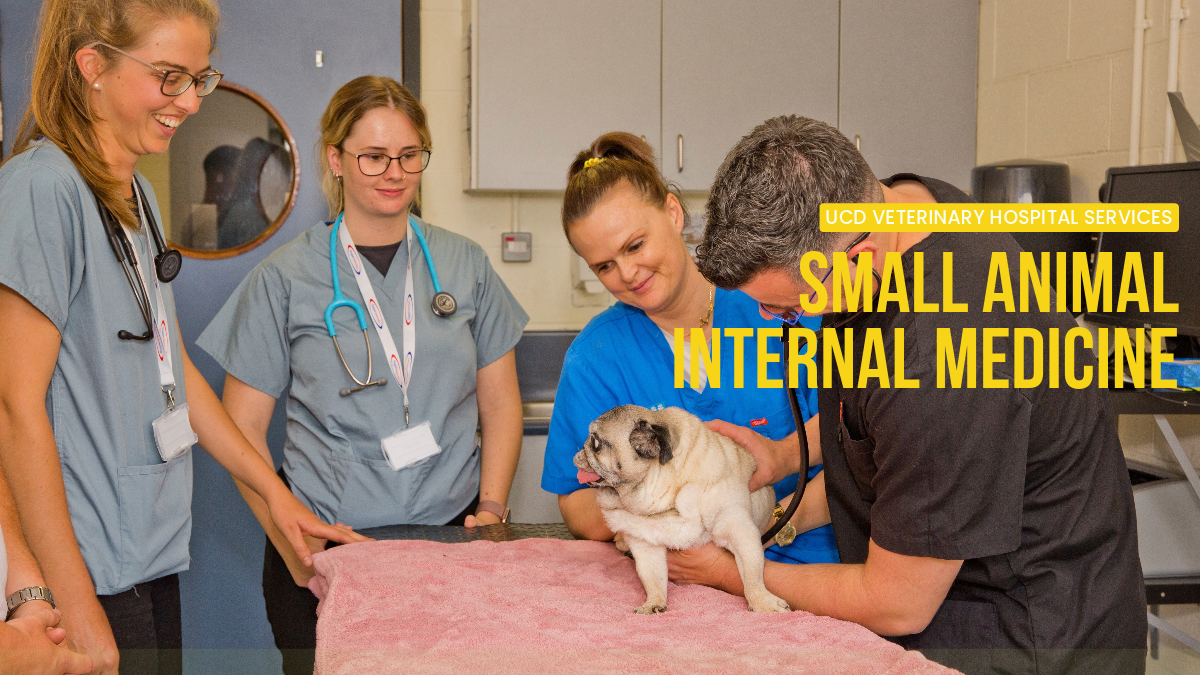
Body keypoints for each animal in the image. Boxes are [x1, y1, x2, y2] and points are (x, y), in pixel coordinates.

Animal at [576, 401, 792, 612]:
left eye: (595, 443)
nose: (578, 453)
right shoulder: (645, 543)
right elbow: (651, 576)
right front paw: (654, 602)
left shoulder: (738, 529)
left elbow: (752, 572)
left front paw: (762, 602)